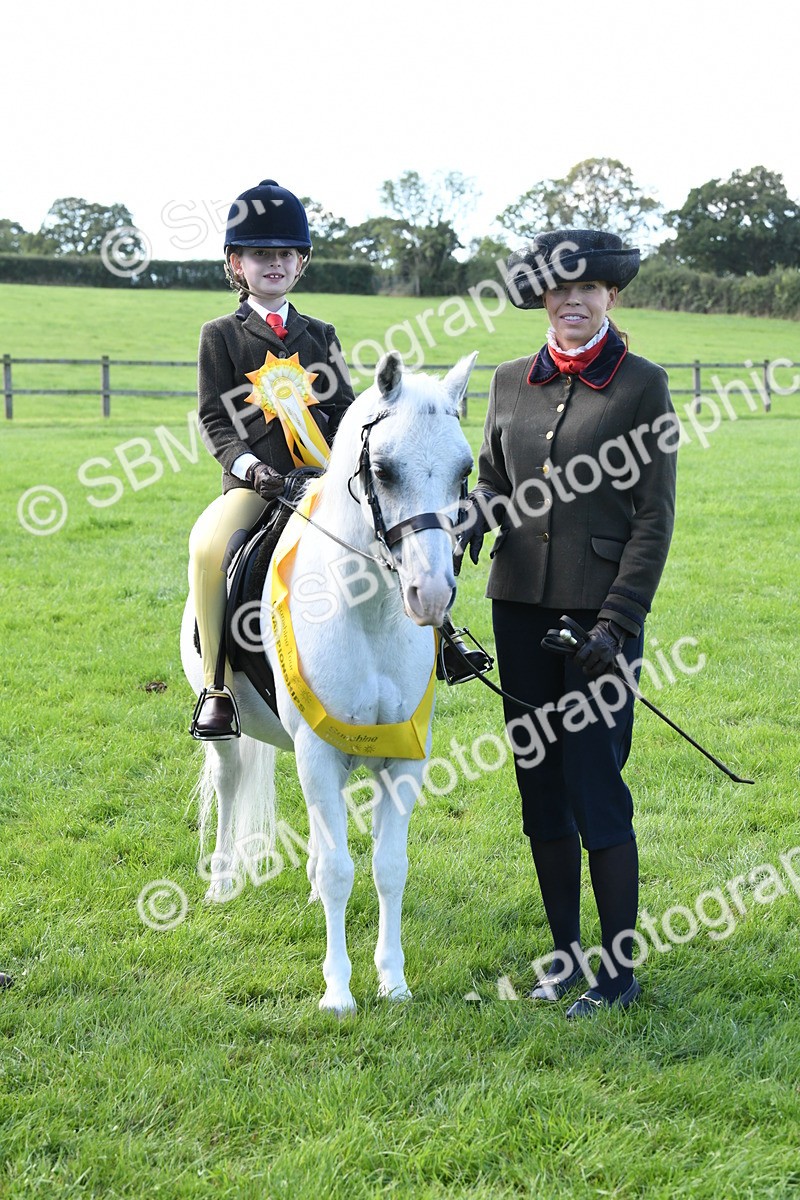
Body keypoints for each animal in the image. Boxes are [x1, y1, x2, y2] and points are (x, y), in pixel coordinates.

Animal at [180, 351, 477, 1013]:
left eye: (464, 471)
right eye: (384, 470)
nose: (431, 595)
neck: (366, 612)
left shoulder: (403, 758)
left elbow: (388, 867)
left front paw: (393, 981)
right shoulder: (315, 752)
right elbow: (343, 870)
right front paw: (339, 992)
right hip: (234, 731)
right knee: (230, 784)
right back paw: (221, 884)